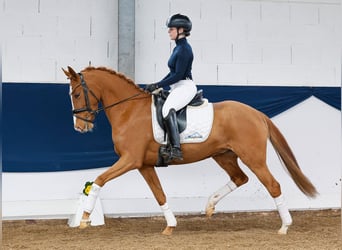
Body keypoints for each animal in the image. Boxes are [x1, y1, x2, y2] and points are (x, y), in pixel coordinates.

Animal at [62, 66, 318, 234]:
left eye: (77, 94)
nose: (80, 127)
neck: (129, 110)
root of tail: (257, 114)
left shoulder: (130, 160)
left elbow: (99, 180)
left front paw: (85, 217)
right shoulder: (144, 165)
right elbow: (159, 194)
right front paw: (170, 225)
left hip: (253, 157)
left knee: (273, 185)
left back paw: (284, 226)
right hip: (223, 155)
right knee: (240, 178)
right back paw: (210, 205)